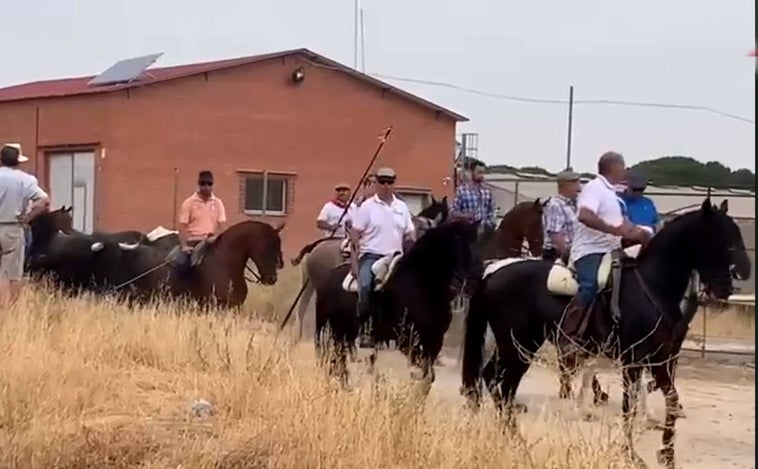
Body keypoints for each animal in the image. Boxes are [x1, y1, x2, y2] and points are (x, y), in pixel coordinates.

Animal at [316, 219, 484, 392]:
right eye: (460, 241)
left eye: (478, 241)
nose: (477, 277)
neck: (421, 285)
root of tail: (329, 277)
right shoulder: (407, 340)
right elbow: (422, 372)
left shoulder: (434, 340)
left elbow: (428, 375)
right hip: (337, 331)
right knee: (336, 360)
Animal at [460, 198, 752, 468]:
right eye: (720, 237)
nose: (738, 276)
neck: (651, 286)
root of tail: (492, 274)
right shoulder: (633, 361)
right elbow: (628, 407)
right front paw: (632, 455)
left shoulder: (660, 360)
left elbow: (671, 400)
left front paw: (667, 454)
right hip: (519, 346)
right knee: (504, 388)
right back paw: (516, 442)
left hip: (512, 344)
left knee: (493, 381)